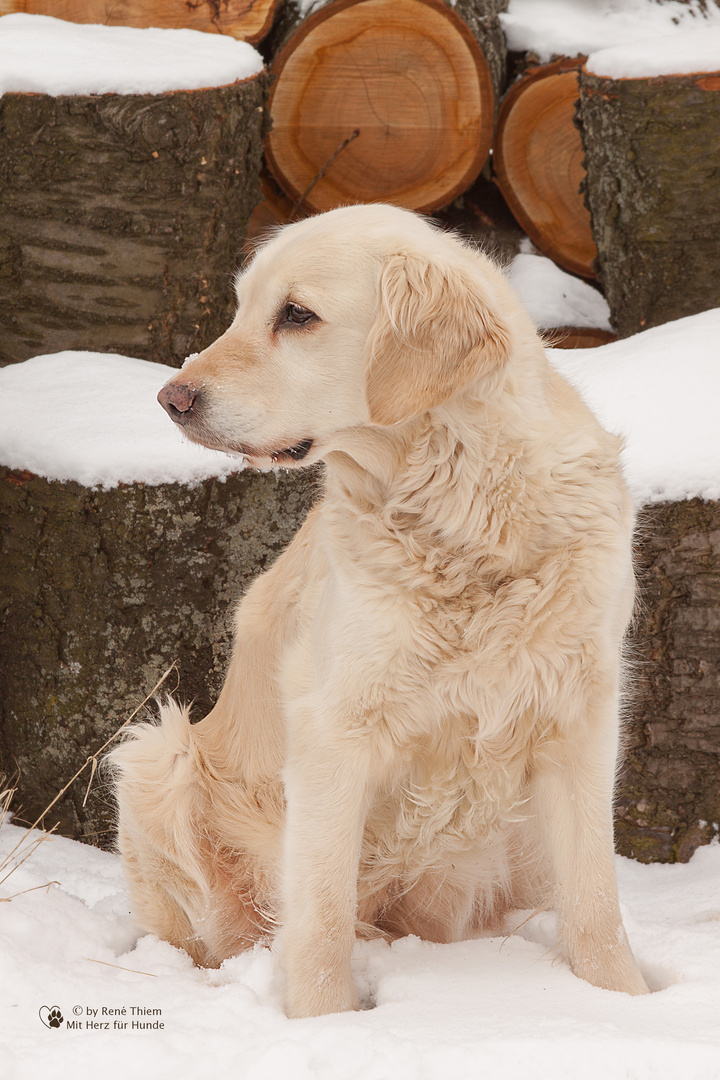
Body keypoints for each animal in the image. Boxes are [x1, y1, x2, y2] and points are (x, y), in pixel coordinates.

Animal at [110, 204, 651, 1019]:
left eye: (297, 315)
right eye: (241, 308)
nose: (172, 400)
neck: (467, 518)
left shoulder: (579, 714)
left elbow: (596, 901)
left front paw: (626, 1003)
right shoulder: (335, 725)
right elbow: (322, 911)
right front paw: (325, 1024)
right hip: (158, 758)